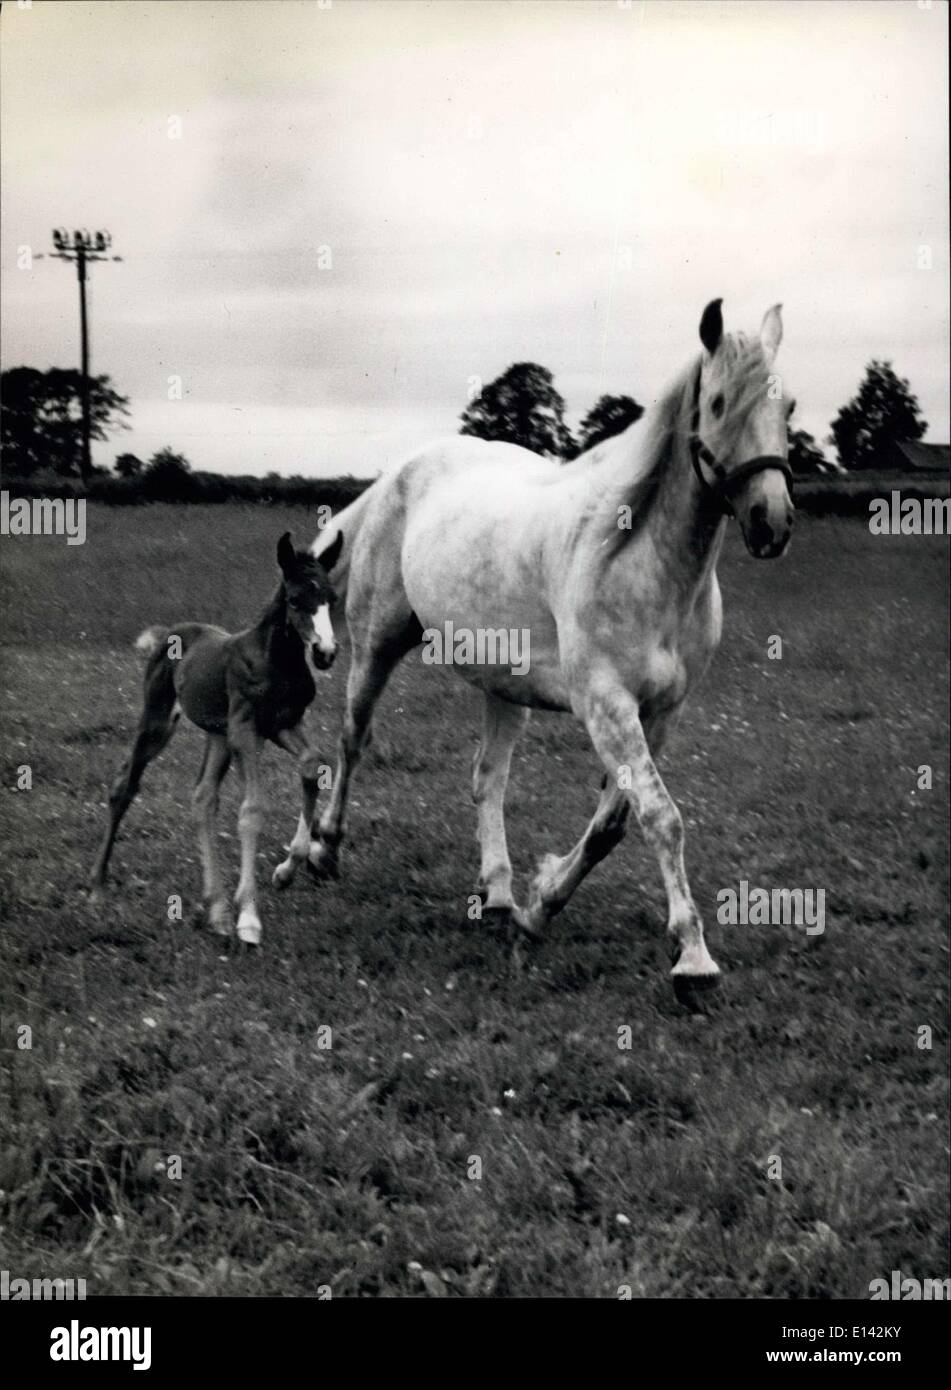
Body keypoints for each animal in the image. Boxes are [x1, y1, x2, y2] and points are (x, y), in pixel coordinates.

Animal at [88, 528, 342, 945]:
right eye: (294, 599)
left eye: (331, 599)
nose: (325, 652)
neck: (275, 661)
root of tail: (170, 632)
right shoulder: (245, 730)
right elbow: (252, 809)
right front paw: (250, 918)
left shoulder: (283, 724)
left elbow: (313, 765)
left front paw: (286, 870)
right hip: (160, 721)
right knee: (124, 785)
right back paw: (97, 884)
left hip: (217, 736)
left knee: (203, 797)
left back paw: (218, 909)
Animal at [300, 298, 789, 1006]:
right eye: (720, 402)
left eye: (790, 406)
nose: (771, 522)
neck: (638, 558)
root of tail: (403, 470)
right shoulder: (606, 706)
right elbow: (661, 817)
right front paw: (694, 958)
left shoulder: (659, 714)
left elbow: (613, 824)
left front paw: (539, 906)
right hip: (375, 646)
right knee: (353, 740)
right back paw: (324, 851)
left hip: (503, 687)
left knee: (487, 779)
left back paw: (500, 893)